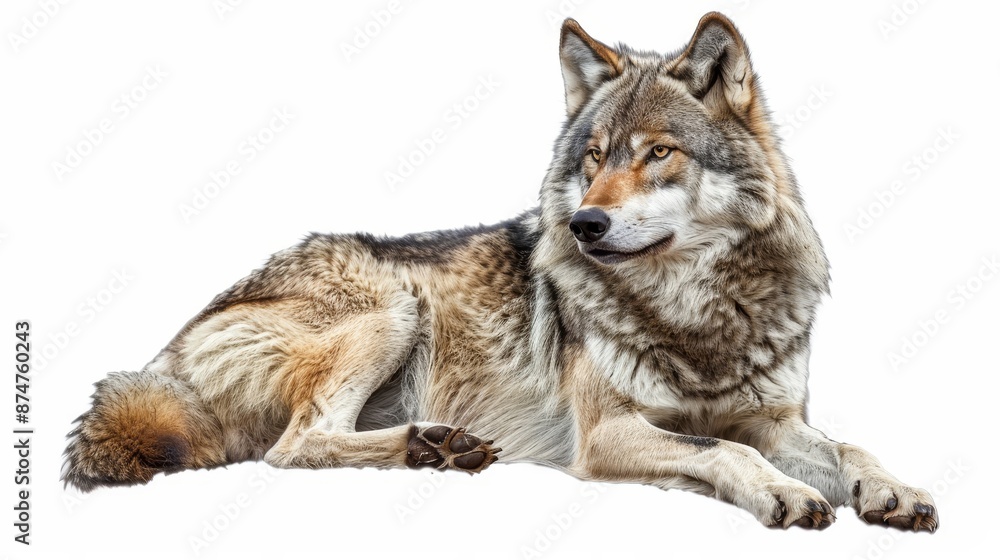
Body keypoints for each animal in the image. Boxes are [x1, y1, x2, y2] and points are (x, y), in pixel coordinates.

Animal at [63, 12, 937, 531]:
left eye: (658, 152)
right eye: (593, 160)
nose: (585, 224)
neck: (696, 312)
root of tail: (166, 356)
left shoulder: (773, 417)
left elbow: (847, 448)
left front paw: (893, 489)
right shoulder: (608, 433)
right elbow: (724, 452)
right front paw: (784, 493)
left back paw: (437, 446)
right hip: (395, 309)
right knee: (294, 445)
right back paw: (431, 448)